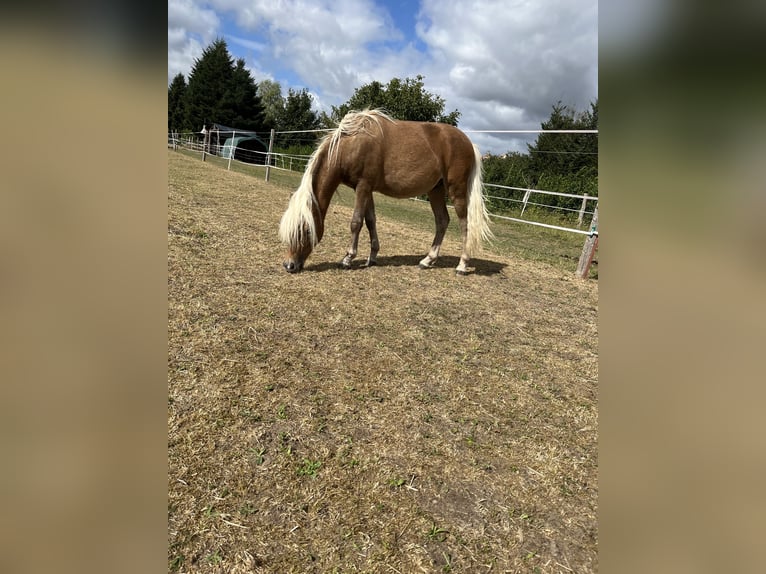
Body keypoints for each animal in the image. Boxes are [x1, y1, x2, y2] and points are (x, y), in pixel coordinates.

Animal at [280, 112, 496, 276]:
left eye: (305, 230)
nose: (289, 265)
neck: (351, 144)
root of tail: (469, 143)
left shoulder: (363, 187)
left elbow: (356, 222)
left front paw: (348, 258)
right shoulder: (365, 189)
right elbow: (370, 220)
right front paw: (372, 257)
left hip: (456, 191)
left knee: (465, 224)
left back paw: (462, 265)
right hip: (436, 190)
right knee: (442, 221)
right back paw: (427, 260)